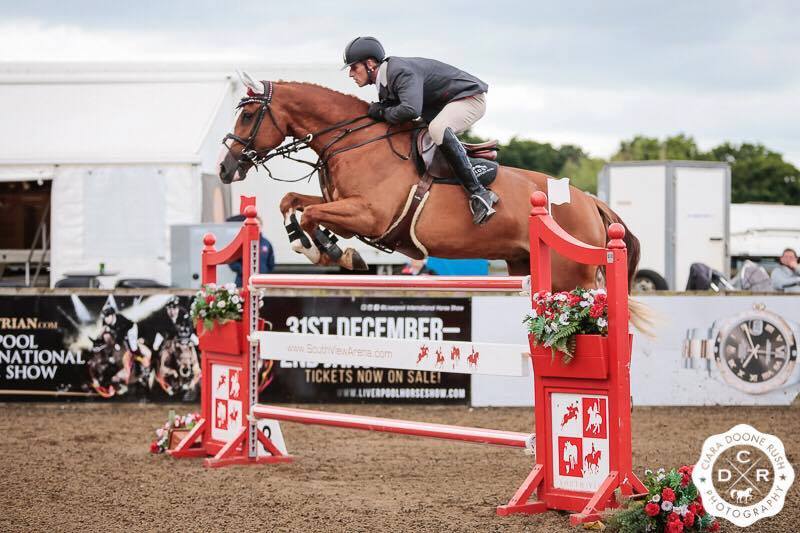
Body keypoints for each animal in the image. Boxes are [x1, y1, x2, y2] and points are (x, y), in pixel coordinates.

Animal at [218, 79, 640, 292]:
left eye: (249, 115)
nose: (225, 169)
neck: (355, 142)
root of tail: (590, 202)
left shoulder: (369, 216)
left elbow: (312, 216)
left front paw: (334, 254)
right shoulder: (342, 205)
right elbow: (292, 202)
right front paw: (311, 246)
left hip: (570, 278)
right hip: (525, 265)